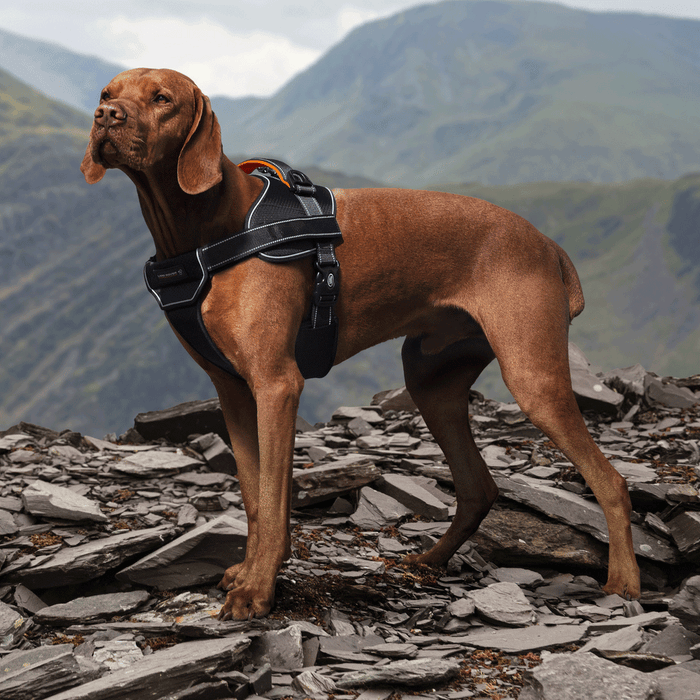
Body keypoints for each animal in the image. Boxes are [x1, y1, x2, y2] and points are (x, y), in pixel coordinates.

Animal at [80, 68, 640, 620]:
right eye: (108, 92)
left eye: (162, 98)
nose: (105, 115)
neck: (210, 231)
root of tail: (549, 245)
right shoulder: (234, 392)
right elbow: (256, 498)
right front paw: (249, 571)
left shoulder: (277, 385)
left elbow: (274, 497)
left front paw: (259, 588)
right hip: (431, 383)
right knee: (478, 487)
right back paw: (429, 560)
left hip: (532, 378)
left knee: (609, 480)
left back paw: (624, 583)